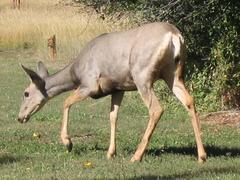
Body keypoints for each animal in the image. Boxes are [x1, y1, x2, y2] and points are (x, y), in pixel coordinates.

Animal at [17, 21, 207, 162]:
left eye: (26, 93)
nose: (20, 117)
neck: (75, 73)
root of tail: (175, 36)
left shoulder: (90, 84)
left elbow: (66, 102)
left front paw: (67, 142)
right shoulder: (118, 88)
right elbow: (113, 116)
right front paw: (110, 152)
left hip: (142, 75)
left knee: (156, 109)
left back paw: (136, 156)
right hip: (173, 74)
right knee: (189, 101)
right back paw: (202, 155)